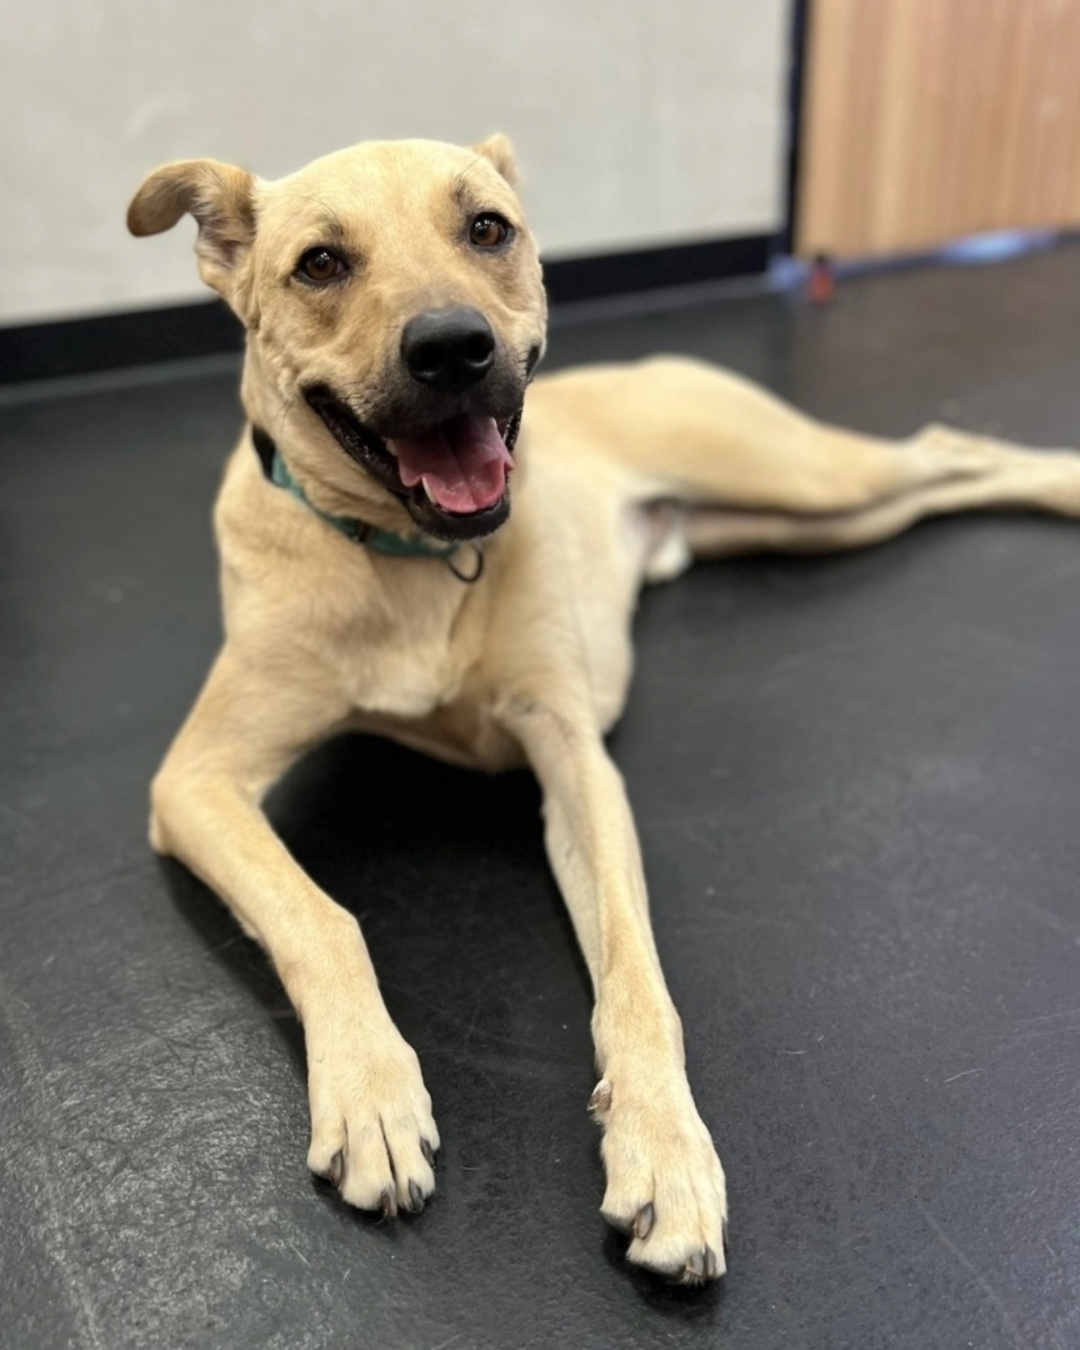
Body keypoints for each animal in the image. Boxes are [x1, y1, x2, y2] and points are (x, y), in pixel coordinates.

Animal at [132, 137, 1080, 1285]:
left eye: (487, 228)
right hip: (801, 519)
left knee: (943, 445)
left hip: (805, 481)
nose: (453, 348)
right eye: (320, 263)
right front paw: (369, 1086)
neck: (411, 561)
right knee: (941, 472)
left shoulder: (576, 762)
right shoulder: (197, 781)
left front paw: (664, 1149)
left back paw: (1066, 483)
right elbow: (322, 917)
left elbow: (635, 975)